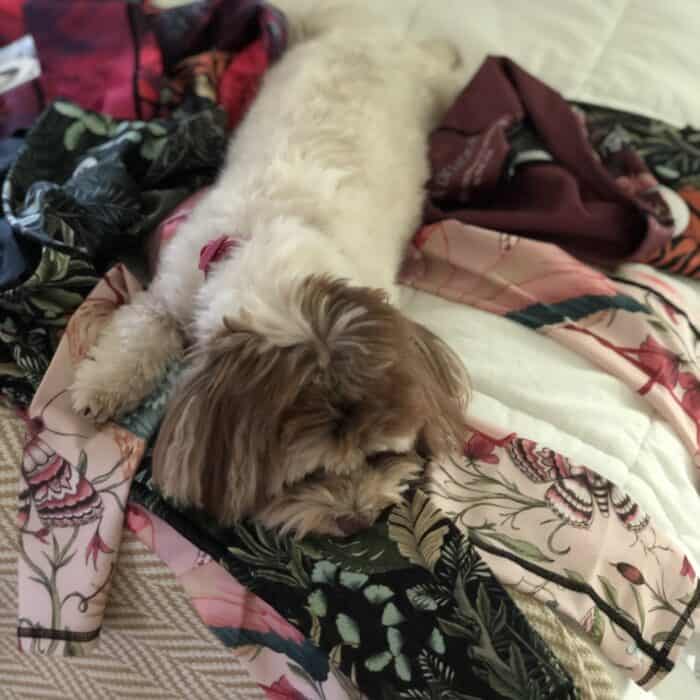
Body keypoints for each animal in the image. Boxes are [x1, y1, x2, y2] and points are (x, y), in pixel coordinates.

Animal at [71, 9, 468, 536]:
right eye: (307, 476)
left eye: (381, 457)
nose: (357, 521)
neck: (272, 250)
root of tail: (370, 34)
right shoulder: (171, 294)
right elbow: (137, 338)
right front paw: (100, 386)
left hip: (435, 87)